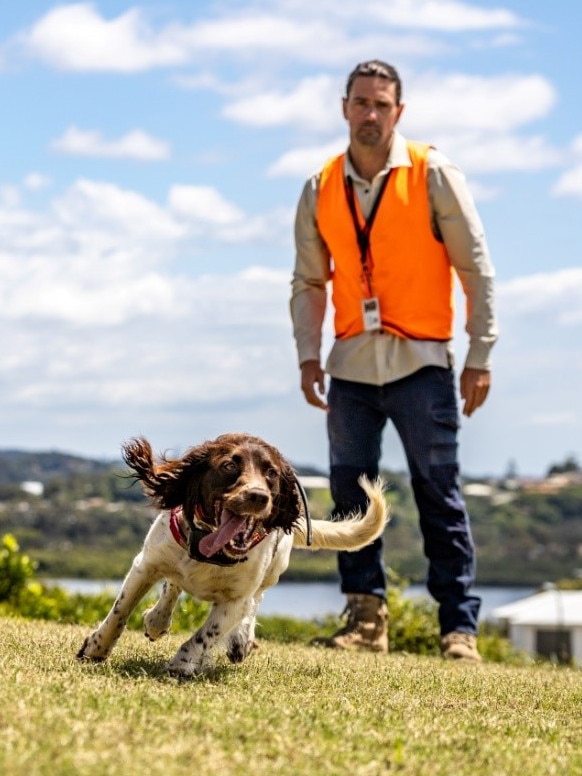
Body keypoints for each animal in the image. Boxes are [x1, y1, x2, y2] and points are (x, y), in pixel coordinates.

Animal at [77, 434, 388, 676]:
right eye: (228, 466)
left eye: (271, 473)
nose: (258, 496)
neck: (209, 549)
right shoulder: (146, 565)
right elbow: (120, 611)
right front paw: (96, 648)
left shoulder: (237, 599)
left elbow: (207, 633)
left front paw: (183, 664)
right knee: (173, 585)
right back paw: (157, 619)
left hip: (272, 571)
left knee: (255, 602)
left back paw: (241, 641)